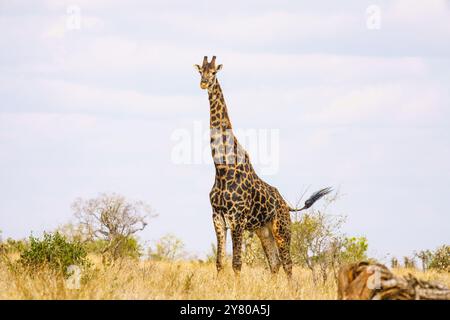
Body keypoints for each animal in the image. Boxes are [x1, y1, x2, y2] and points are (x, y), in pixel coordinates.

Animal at [194, 56, 330, 276]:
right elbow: (220, 262)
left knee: (287, 264)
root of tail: (286, 205)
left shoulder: (237, 219)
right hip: (263, 230)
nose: (204, 83)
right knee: (274, 263)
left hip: (281, 228)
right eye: (200, 72)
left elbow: (236, 263)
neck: (222, 169)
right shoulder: (218, 218)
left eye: (214, 72)